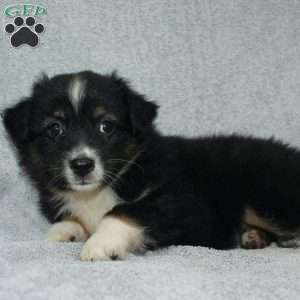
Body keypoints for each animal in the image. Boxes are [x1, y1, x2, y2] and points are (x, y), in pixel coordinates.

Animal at [3, 71, 300, 260]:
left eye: (106, 126)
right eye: (55, 129)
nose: (82, 165)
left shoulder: (179, 200)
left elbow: (124, 211)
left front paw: (100, 243)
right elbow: (70, 218)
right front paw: (64, 231)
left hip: (263, 193)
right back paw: (253, 237)